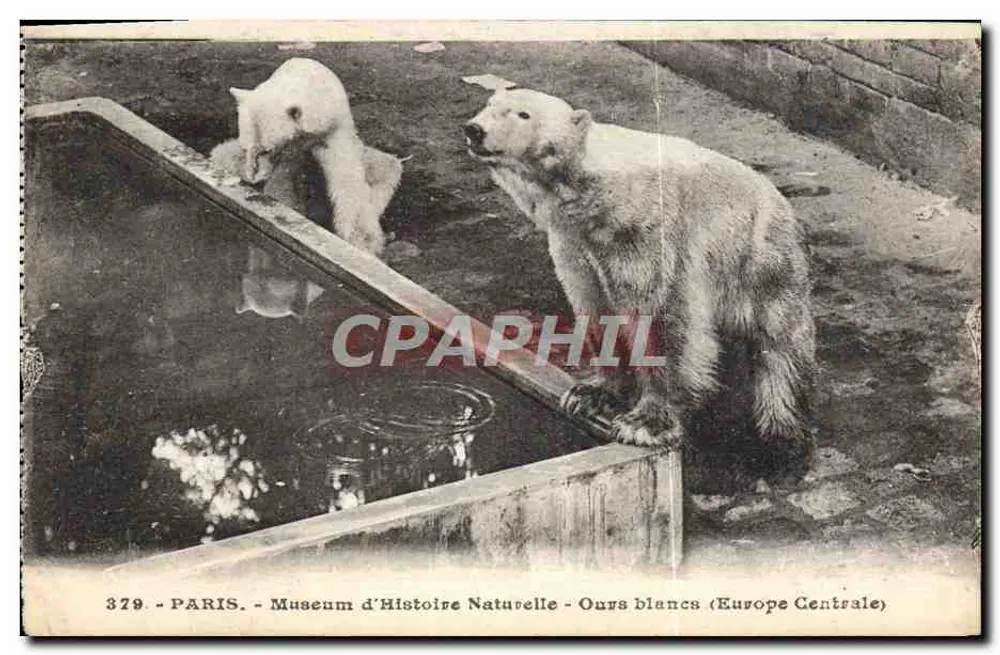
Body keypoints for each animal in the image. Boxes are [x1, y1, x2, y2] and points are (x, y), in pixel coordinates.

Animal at [226, 57, 404, 256]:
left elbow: (346, 172)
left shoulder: (332, 125)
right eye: (246, 149)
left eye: (266, 150)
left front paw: (360, 237)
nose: (253, 179)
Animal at [465, 88, 816, 479]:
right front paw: (589, 394)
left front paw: (645, 423)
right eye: (489, 106)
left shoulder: (648, 235)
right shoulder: (576, 246)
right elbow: (596, 310)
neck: (596, 195)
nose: (474, 130)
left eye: (523, 114)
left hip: (761, 263)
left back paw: (777, 443)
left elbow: (662, 319)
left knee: (778, 347)